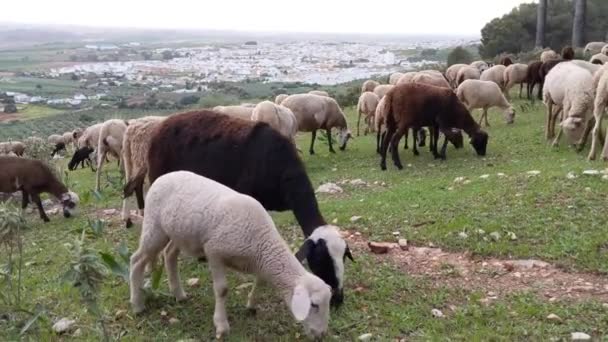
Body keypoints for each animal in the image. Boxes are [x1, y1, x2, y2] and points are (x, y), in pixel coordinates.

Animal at [129, 171, 334, 340]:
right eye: (314, 305)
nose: (322, 335)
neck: (262, 242)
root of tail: (162, 177)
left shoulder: (260, 261)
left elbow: (260, 281)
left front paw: (251, 305)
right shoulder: (214, 251)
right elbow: (222, 289)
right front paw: (221, 326)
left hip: (178, 233)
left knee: (169, 254)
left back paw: (179, 294)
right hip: (154, 227)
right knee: (136, 260)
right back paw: (137, 304)